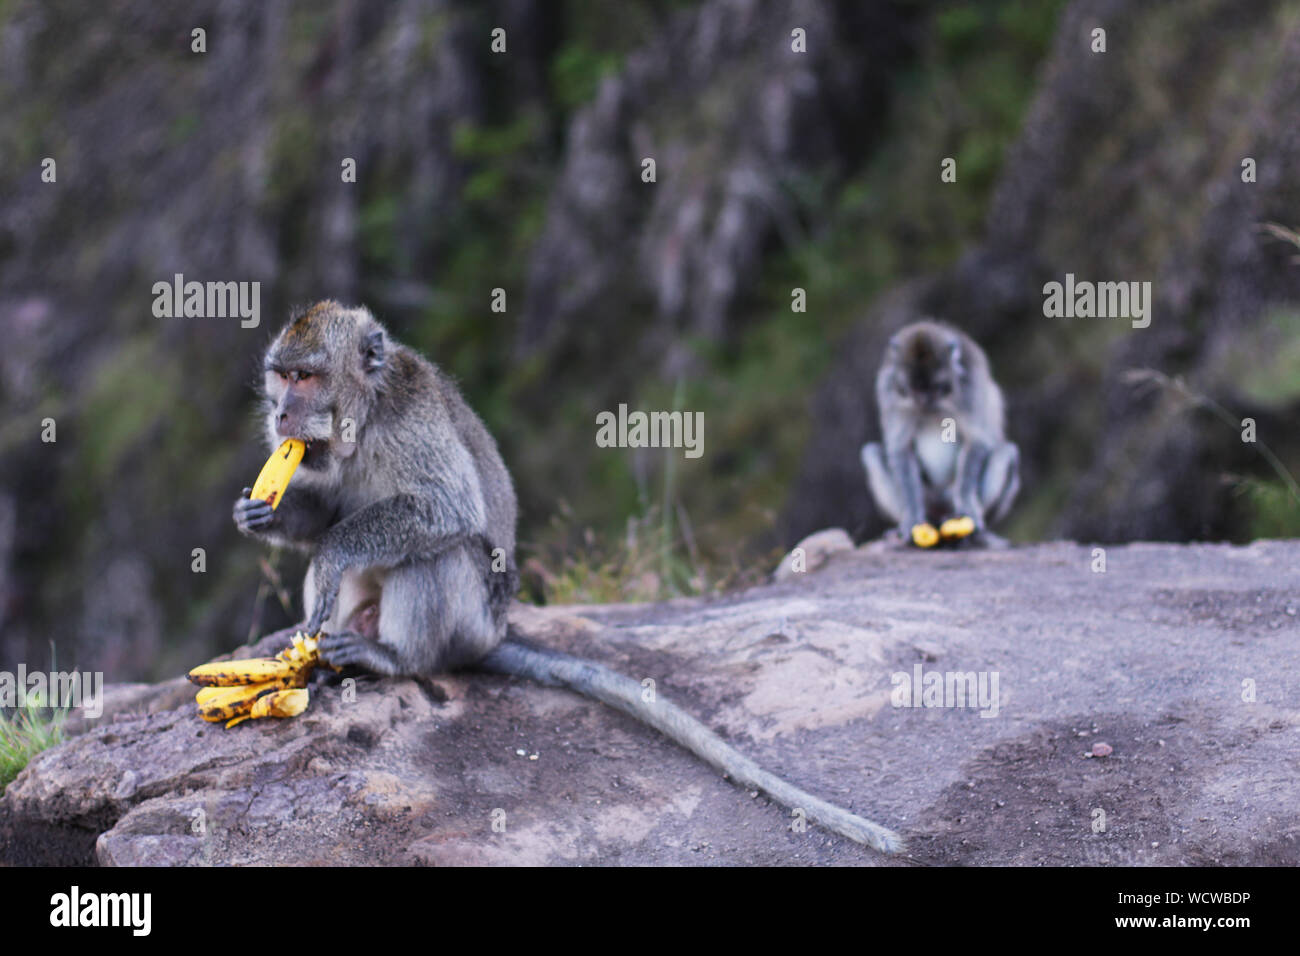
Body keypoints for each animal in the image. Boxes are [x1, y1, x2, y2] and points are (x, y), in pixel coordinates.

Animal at [233, 301, 903, 854]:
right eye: (280, 376)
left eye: (305, 377)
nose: (280, 413)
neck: (362, 419)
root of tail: (494, 635)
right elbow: (326, 512)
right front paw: (262, 514)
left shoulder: (408, 423)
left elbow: (444, 510)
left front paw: (328, 554)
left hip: (469, 620)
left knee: (441, 553)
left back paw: (393, 657)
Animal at [861, 320, 1020, 549]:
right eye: (914, 389)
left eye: (934, 387)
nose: (923, 402)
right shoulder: (888, 389)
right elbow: (900, 448)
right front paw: (912, 518)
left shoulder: (970, 382)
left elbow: (977, 440)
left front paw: (968, 507)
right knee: (872, 452)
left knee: (1006, 452)